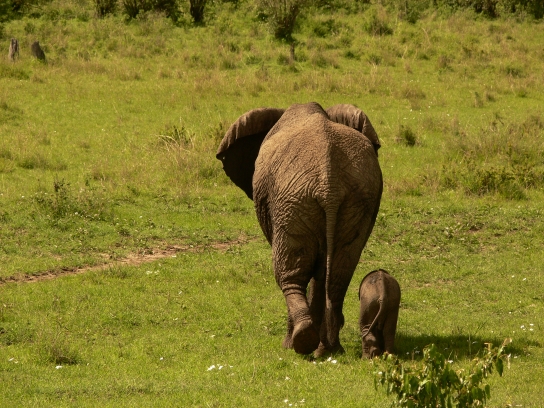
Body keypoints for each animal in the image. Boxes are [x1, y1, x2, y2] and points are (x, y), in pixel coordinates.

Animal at [216, 102, 383, 356]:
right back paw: (328, 349)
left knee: (290, 274)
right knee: (337, 275)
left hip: (292, 203)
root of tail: (329, 184)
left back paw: (298, 342)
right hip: (354, 202)